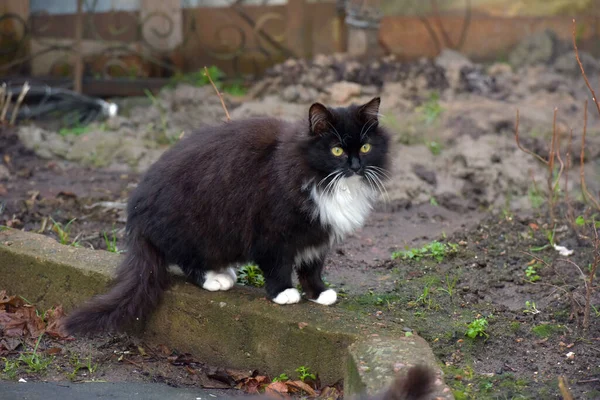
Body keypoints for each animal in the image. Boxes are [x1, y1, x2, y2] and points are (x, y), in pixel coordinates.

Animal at [61, 96, 390, 334]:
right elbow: (278, 264)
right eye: (336, 151)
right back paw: (215, 279)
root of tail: (137, 215)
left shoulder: (317, 233)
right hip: (195, 228)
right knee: (185, 261)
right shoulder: (271, 229)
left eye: (365, 146)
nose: (355, 165)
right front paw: (283, 293)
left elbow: (312, 266)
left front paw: (319, 293)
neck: (321, 178)